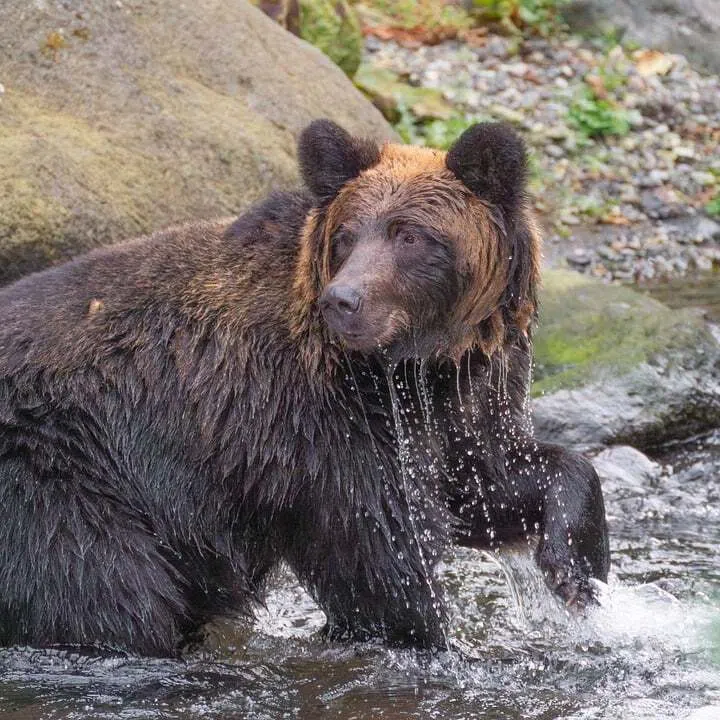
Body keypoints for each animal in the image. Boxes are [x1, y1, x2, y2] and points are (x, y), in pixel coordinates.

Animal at [0, 120, 609, 656]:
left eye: (409, 234)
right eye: (346, 235)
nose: (343, 300)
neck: (408, 366)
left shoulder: (459, 402)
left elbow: (493, 480)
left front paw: (577, 569)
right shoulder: (313, 424)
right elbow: (378, 553)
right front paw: (436, 638)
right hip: (60, 477)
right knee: (105, 587)